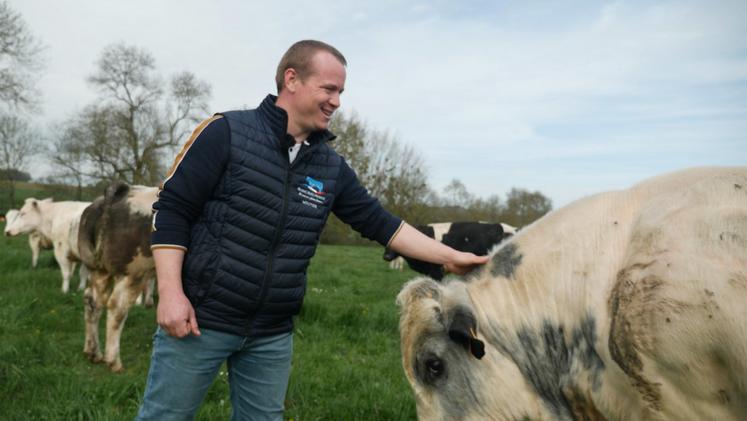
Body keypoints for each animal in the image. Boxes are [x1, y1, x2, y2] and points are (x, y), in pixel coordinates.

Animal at [79, 180, 157, 370]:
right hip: (133, 271)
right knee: (117, 307)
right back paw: (113, 361)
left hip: (99, 270)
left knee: (92, 301)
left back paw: (93, 353)